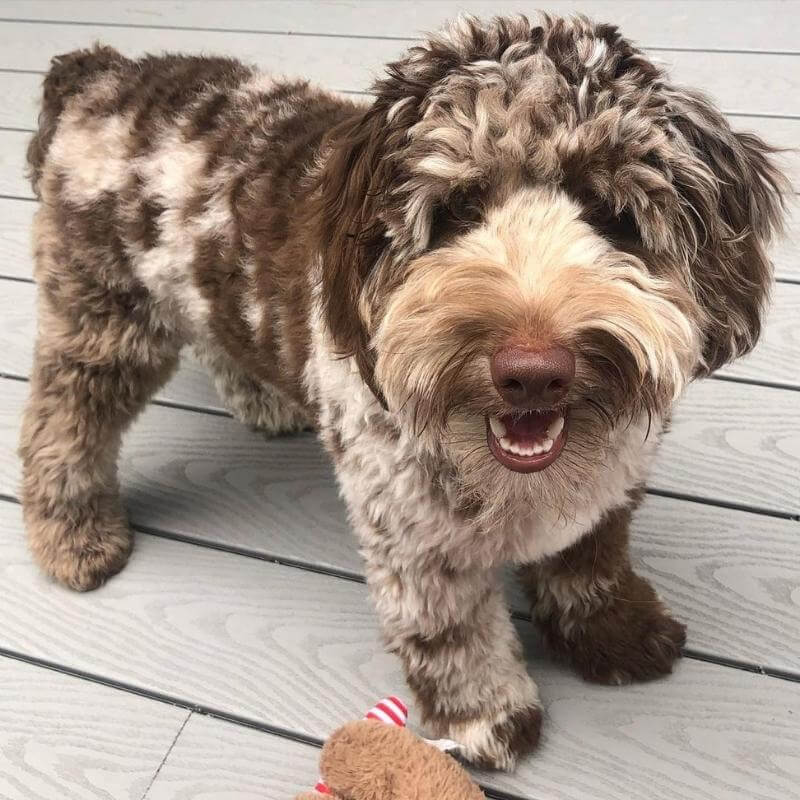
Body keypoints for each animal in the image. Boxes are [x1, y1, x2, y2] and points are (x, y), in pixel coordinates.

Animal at [20, 15, 788, 772]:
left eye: (612, 216)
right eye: (456, 211)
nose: (532, 371)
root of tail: (101, 71)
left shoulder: (608, 492)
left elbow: (590, 563)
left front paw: (616, 632)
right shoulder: (416, 535)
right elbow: (451, 633)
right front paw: (487, 715)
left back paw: (262, 400)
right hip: (104, 317)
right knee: (60, 423)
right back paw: (75, 535)